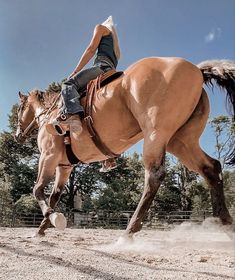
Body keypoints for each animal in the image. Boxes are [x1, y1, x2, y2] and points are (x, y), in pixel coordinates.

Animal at [15, 57, 235, 236]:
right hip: (181, 142)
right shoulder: (65, 167)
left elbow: (37, 189)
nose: (18, 135)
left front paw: (52, 218)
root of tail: (197, 70)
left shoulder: (48, 156)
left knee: (154, 176)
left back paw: (129, 232)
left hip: (156, 135)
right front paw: (42, 228)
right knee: (211, 168)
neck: (50, 116)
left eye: (20, 109)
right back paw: (225, 224)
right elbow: (54, 196)